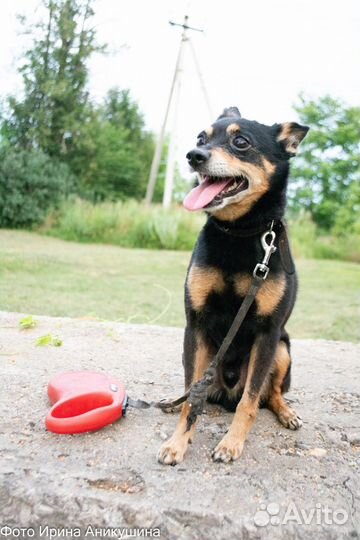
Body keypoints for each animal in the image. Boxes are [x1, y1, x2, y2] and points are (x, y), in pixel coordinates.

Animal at [156, 106, 308, 464]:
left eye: (241, 142)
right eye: (201, 138)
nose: (193, 156)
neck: (238, 233)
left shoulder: (268, 332)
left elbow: (249, 403)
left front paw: (231, 443)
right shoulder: (195, 325)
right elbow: (192, 400)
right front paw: (178, 443)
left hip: (282, 348)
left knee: (271, 394)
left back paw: (286, 412)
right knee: (194, 391)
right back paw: (174, 401)